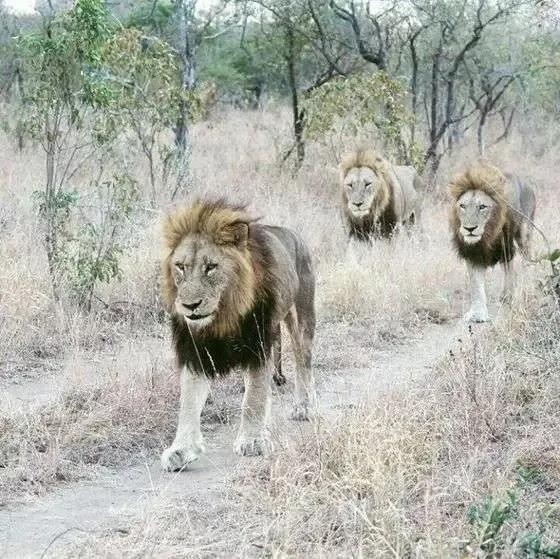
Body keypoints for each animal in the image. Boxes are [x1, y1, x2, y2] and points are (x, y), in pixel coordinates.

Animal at [160, 199, 316, 472]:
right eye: (180, 267)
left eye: (211, 267)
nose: (190, 306)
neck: (223, 316)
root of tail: (295, 235)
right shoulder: (196, 351)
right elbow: (188, 402)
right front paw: (181, 449)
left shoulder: (258, 344)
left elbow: (253, 397)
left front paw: (252, 440)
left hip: (301, 318)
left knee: (302, 361)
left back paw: (302, 407)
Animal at [449, 163, 536, 323]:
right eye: (463, 206)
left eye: (482, 206)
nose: (469, 229)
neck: (486, 235)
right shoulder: (473, 252)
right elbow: (476, 283)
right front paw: (478, 314)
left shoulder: (505, 245)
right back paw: (506, 295)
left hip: (524, 233)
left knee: (527, 260)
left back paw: (526, 287)